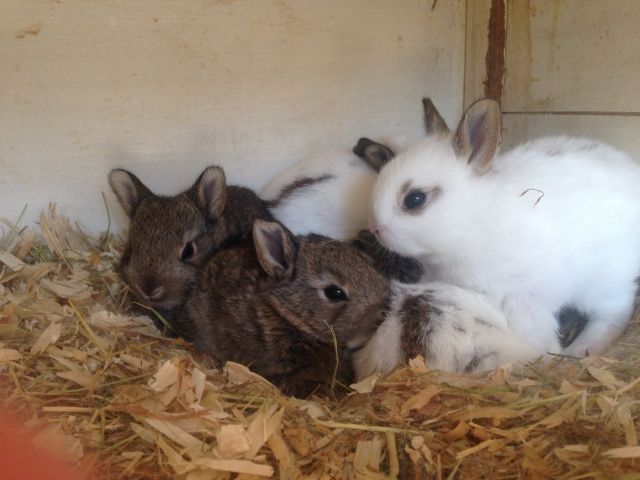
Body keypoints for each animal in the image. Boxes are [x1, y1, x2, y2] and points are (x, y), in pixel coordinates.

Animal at [369, 97, 640, 357]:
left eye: (415, 199)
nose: (376, 230)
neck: (473, 223)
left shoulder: (521, 300)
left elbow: (537, 335)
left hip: (605, 282)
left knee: (615, 313)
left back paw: (582, 349)